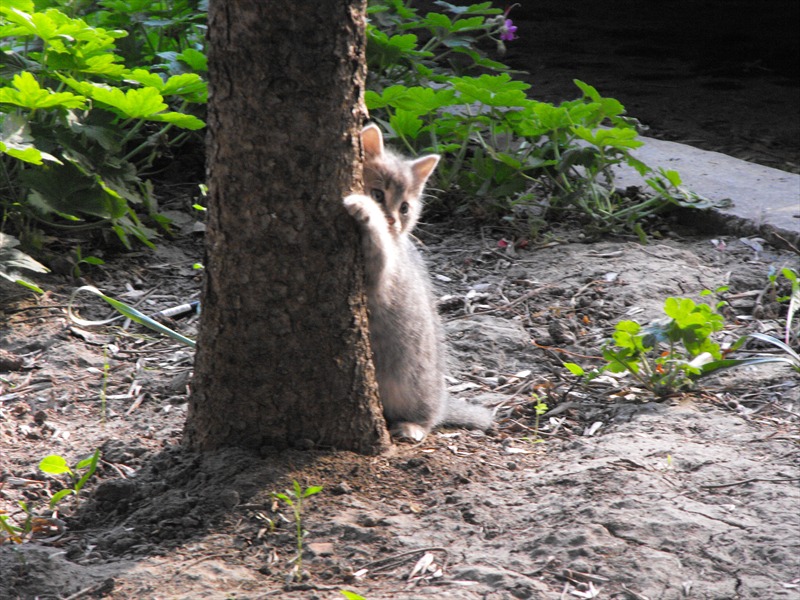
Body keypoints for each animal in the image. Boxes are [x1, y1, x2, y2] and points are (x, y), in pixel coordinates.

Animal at [344, 124, 494, 440]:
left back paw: (411, 427)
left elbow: (379, 247)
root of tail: (442, 402)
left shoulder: (381, 276)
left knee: (426, 417)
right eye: (378, 193)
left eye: (404, 208)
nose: (393, 221)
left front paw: (363, 209)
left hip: (411, 386)